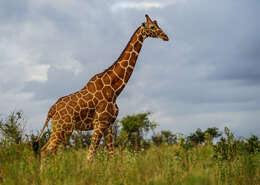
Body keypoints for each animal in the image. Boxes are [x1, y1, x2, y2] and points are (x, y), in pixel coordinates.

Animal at [33, 14, 169, 161]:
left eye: (157, 24)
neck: (115, 89)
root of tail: (51, 111)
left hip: (63, 130)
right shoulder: (100, 123)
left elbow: (111, 155)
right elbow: (90, 156)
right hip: (62, 128)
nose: (165, 36)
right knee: (46, 150)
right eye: (152, 27)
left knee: (49, 151)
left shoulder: (108, 124)